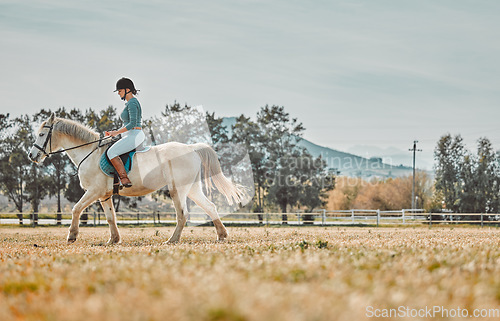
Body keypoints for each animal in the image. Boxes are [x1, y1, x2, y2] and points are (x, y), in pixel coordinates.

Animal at [28, 114, 244, 244]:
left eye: (42, 134)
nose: (32, 155)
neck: (89, 153)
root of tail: (191, 148)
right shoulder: (104, 195)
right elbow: (110, 217)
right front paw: (113, 240)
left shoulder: (94, 191)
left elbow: (76, 209)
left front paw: (72, 236)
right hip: (191, 188)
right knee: (210, 207)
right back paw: (222, 236)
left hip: (178, 189)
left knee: (182, 214)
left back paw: (172, 240)